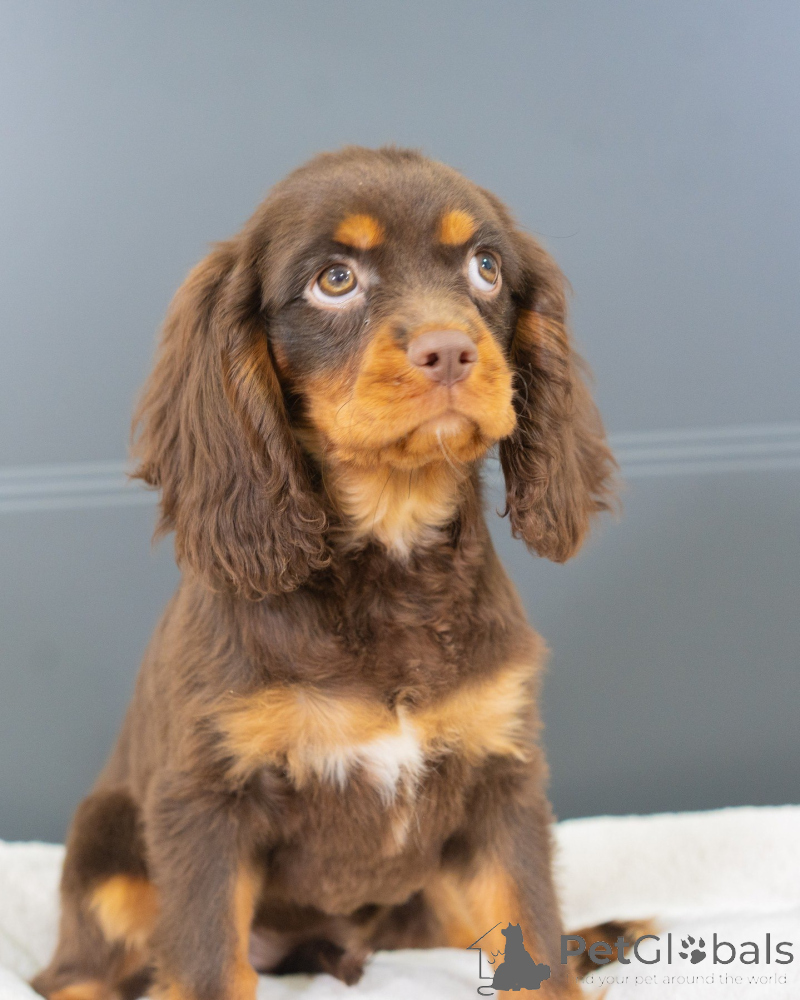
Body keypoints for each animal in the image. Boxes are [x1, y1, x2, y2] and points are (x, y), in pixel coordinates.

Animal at [33, 146, 627, 1000]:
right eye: (334, 280)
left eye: (485, 268)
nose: (452, 352)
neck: (391, 560)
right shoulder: (205, 800)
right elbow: (207, 967)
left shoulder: (500, 780)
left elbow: (533, 933)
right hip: (108, 850)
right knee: (75, 972)